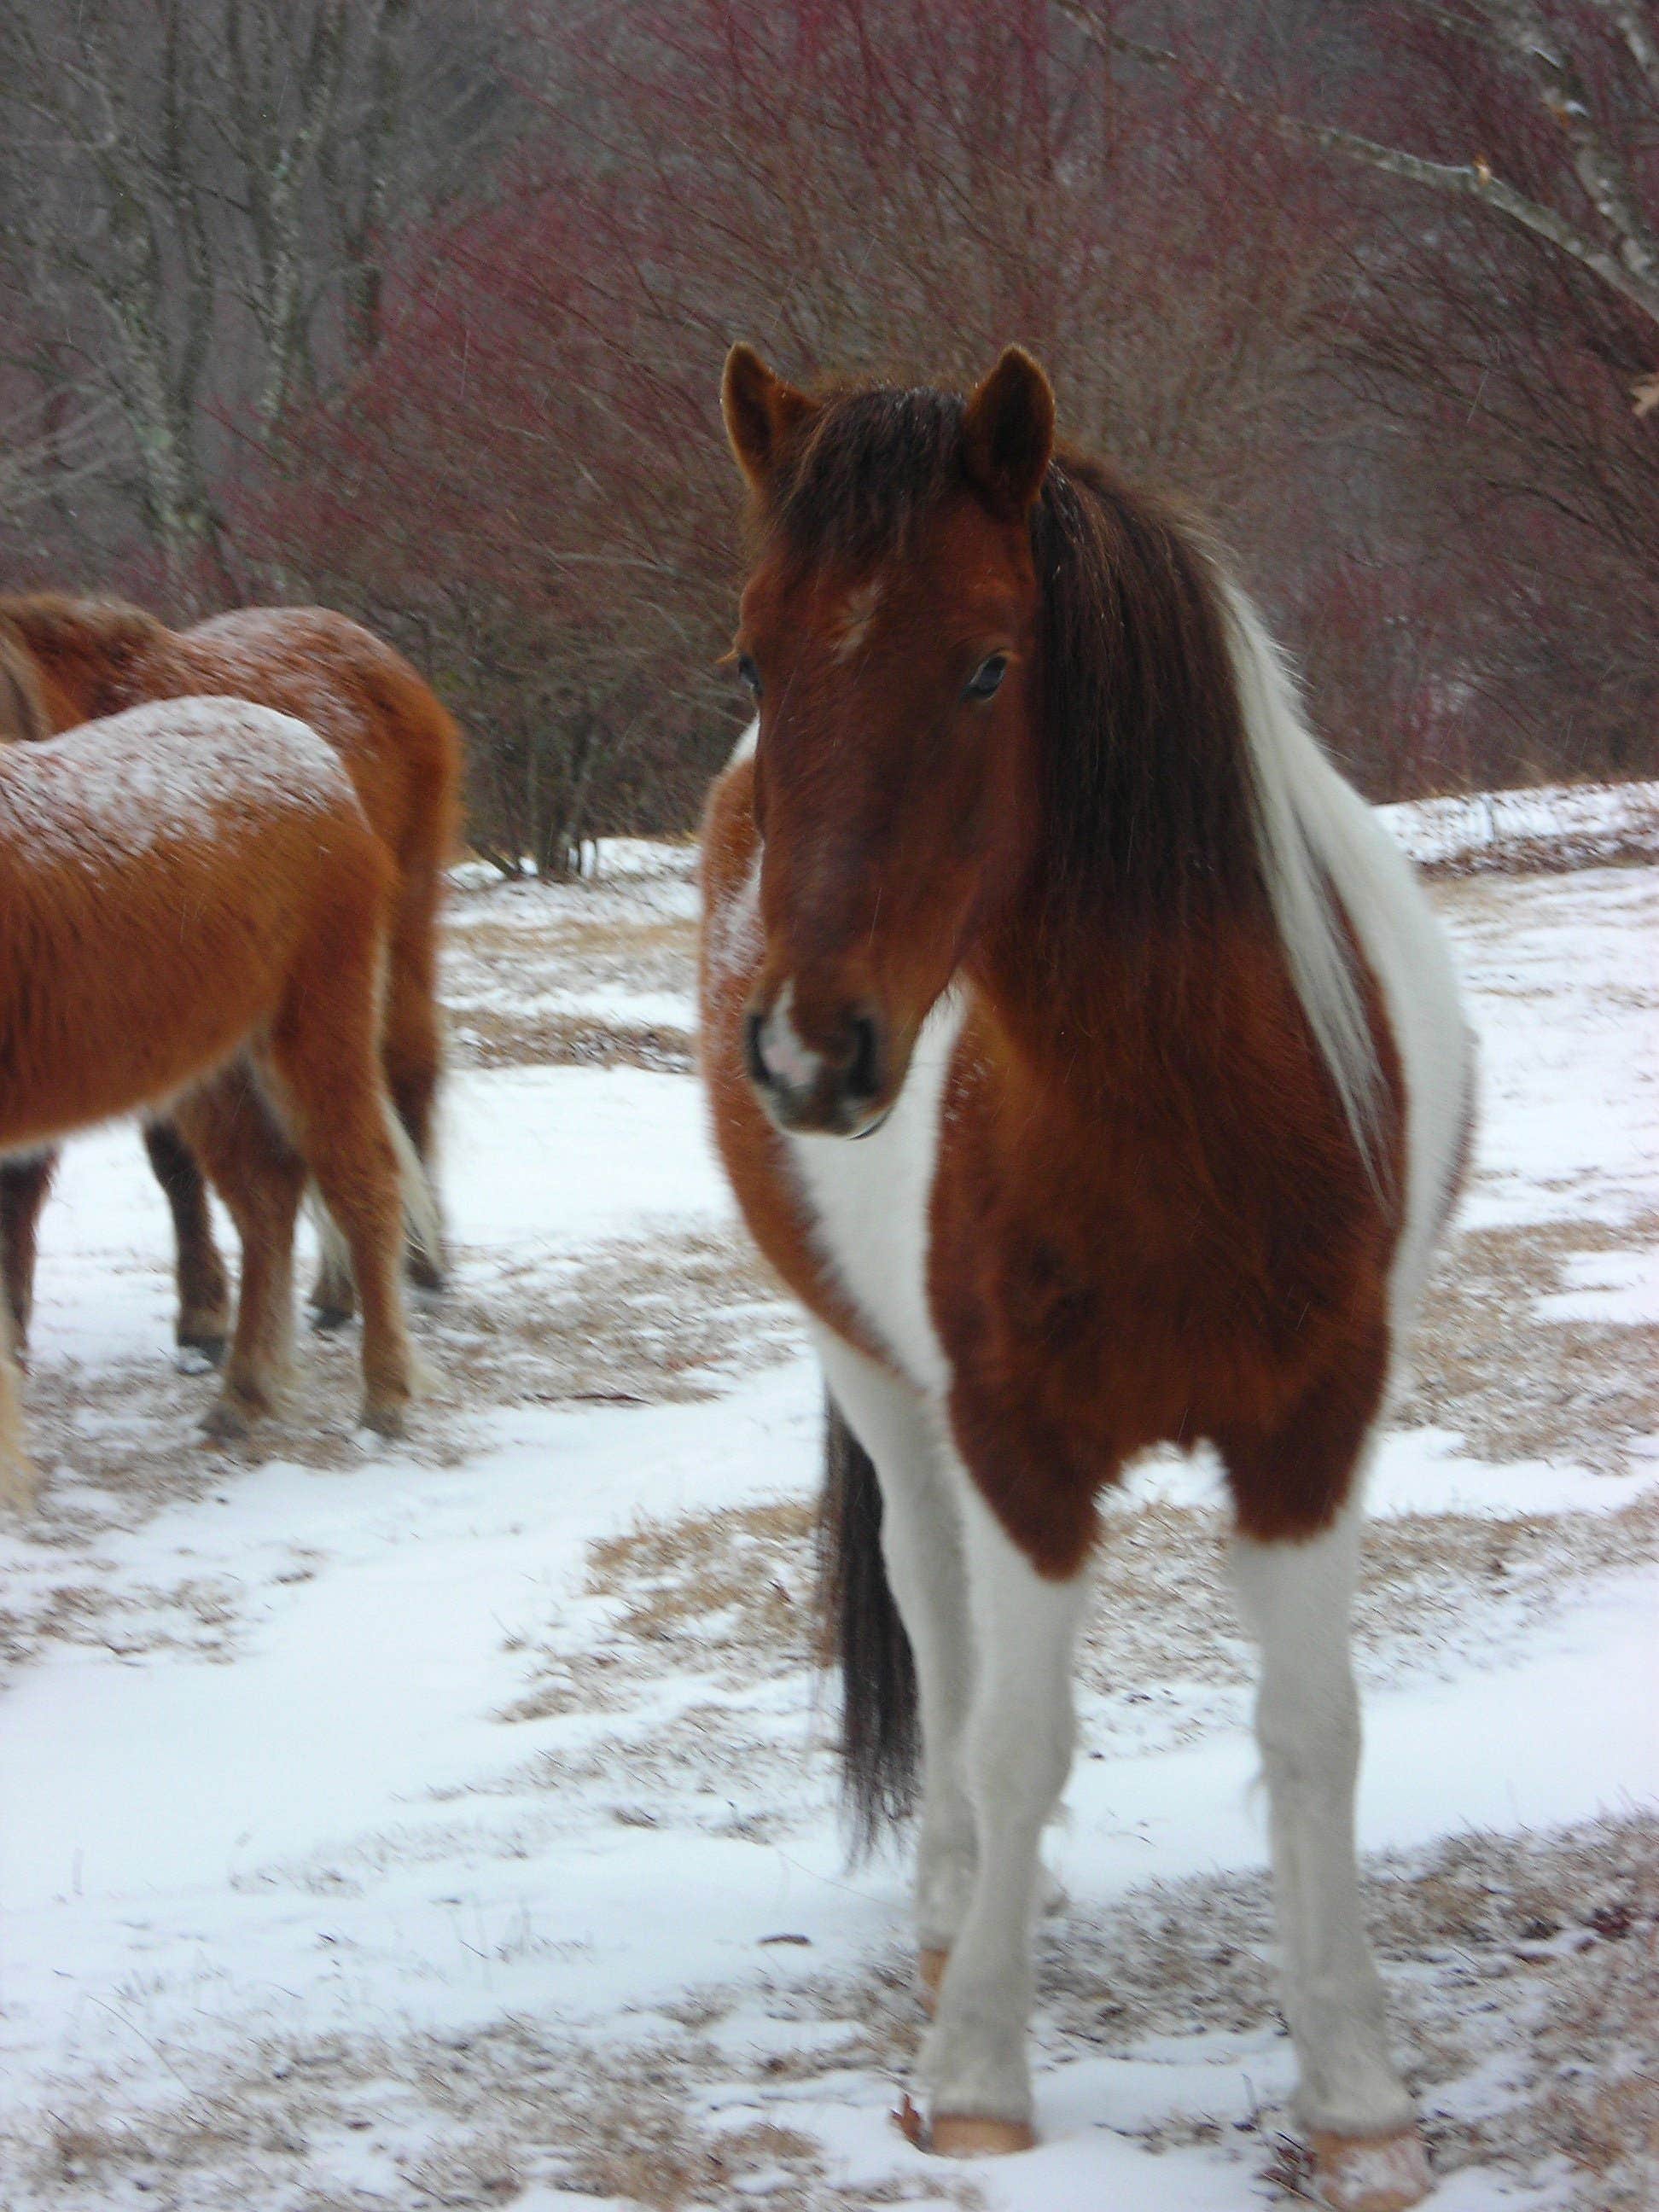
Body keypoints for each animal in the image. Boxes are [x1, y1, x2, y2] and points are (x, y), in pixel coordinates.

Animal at [0, 693, 437, 1509]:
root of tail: (315, 756)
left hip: (312, 1034)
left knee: (361, 1187)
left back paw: (385, 1399)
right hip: (216, 1071)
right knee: (267, 1202)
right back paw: (244, 1395)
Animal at [698, 345, 1473, 2212]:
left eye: (988, 661)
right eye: (750, 654)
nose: (810, 1052)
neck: (1188, 1120)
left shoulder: (1310, 1436)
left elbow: (1313, 1733)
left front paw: (1355, 2094)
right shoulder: (1021, 1446)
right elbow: (1013, 1729)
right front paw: (977, 2074)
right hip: (882, 1384)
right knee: (938, 1619)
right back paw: (952, 1901)